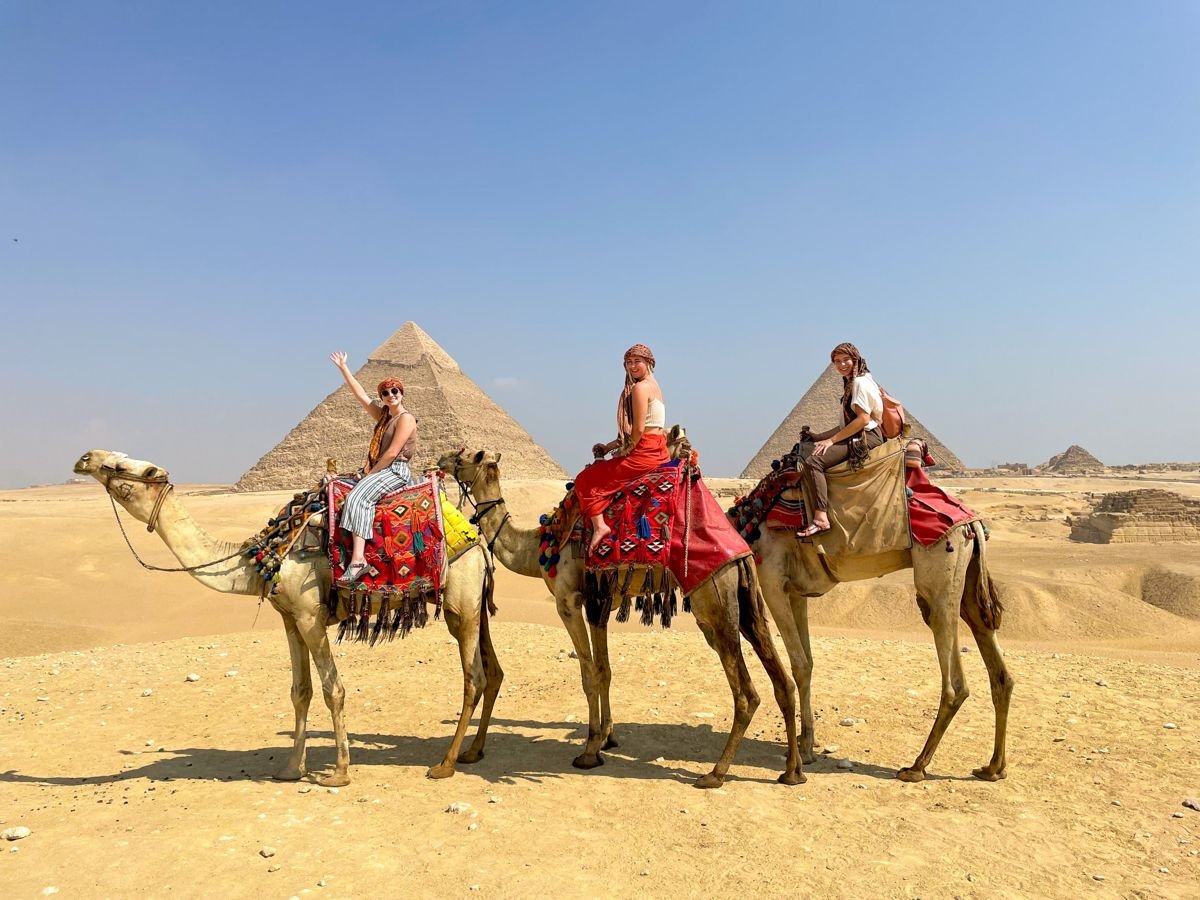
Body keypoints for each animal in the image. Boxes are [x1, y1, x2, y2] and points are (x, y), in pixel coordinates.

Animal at [73, 449, 501, 785]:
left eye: (130, 466)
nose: (85, 457)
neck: (265, 557)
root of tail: (478, 542)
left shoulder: (311, 616)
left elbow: (333, 690)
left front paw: (340, 772)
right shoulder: (290, 619)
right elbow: (301, 691)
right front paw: (292, 769)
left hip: (461, 605)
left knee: (473, 678)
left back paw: (445, 764)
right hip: (473, 607)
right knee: (492, 672)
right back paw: (472, 753)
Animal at [438, 448, 804, 788]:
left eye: (464, 456)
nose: (440, 461)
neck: (540, 546)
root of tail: (740, 549)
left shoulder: (568, 602)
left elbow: (588, 674)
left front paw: (588, 751)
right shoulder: (598, 604)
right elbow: (605, 671)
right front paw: (606, 738)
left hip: (712, 600)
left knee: (746, 693)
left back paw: (716, 773)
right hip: (746, 600)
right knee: (782, 680)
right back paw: (792, 771)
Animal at [744, 476, 1013, 783]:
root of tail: (974, 523)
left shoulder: (773, 581)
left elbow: (799, 664)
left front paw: (801, 757)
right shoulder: (797, 591)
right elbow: (808, 664)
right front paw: (806, 744)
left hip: (940, 575)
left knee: (954, 682)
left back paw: (916, 767)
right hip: (969, 579)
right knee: (997, 666)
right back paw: (993, 767)